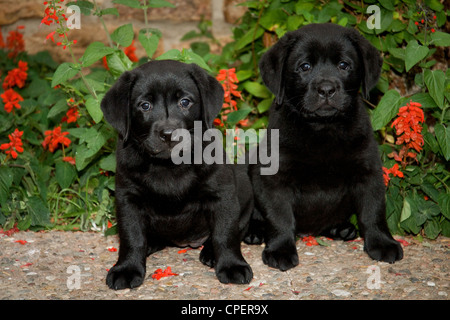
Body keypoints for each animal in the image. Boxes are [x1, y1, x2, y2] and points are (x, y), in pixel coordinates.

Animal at [100, 60, 253, 290]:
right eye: (145, 105)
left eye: (185, 102)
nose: (168, 134)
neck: (168, 166)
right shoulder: (128, 198)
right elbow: (132, 236)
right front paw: (126, 268)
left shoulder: (222, 193)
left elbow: (225, 233)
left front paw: (231, 264)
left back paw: (210, 252)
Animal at [246, 23, 404, 272]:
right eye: (305, 66)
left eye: (343, 65)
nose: (327, 89)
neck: (323, 129)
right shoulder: (274, 179)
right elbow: (280, 216)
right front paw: (281, 249)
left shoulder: (368, 172)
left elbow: (373, 211)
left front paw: (382, 242)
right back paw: (253, 232)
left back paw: (341, 228)